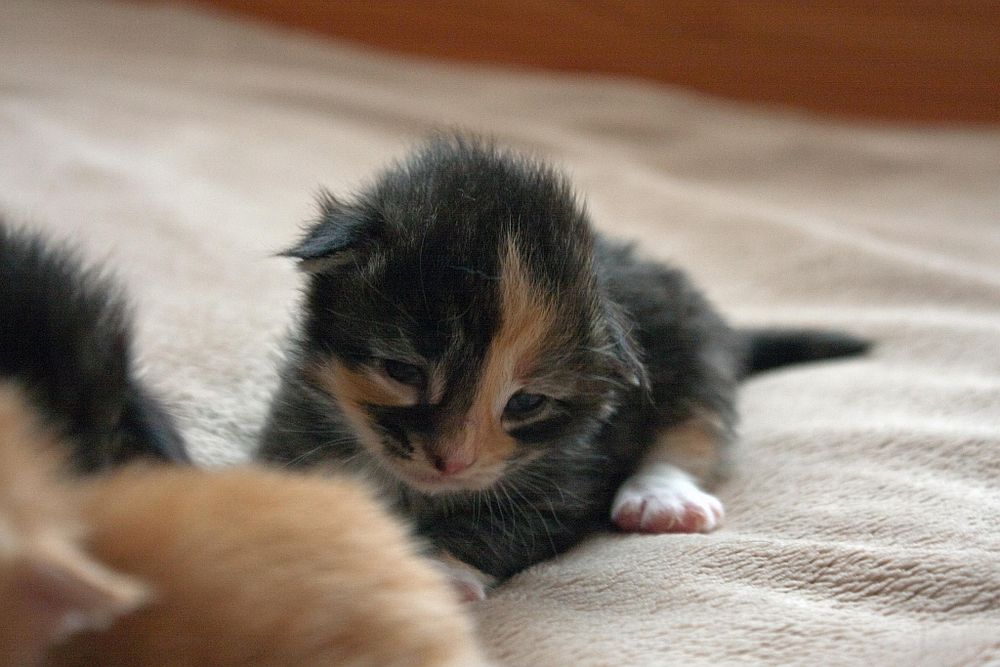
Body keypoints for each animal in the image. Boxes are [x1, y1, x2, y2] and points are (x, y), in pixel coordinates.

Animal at [260, 134, 868, 588]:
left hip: (697, 349)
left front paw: (438, 572)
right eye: (403, 372)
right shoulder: (294, 424)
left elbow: (508, 525)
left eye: (526, 403)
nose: (452, 462)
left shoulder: (570, 475)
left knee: (694, 430)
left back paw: (661, 497)